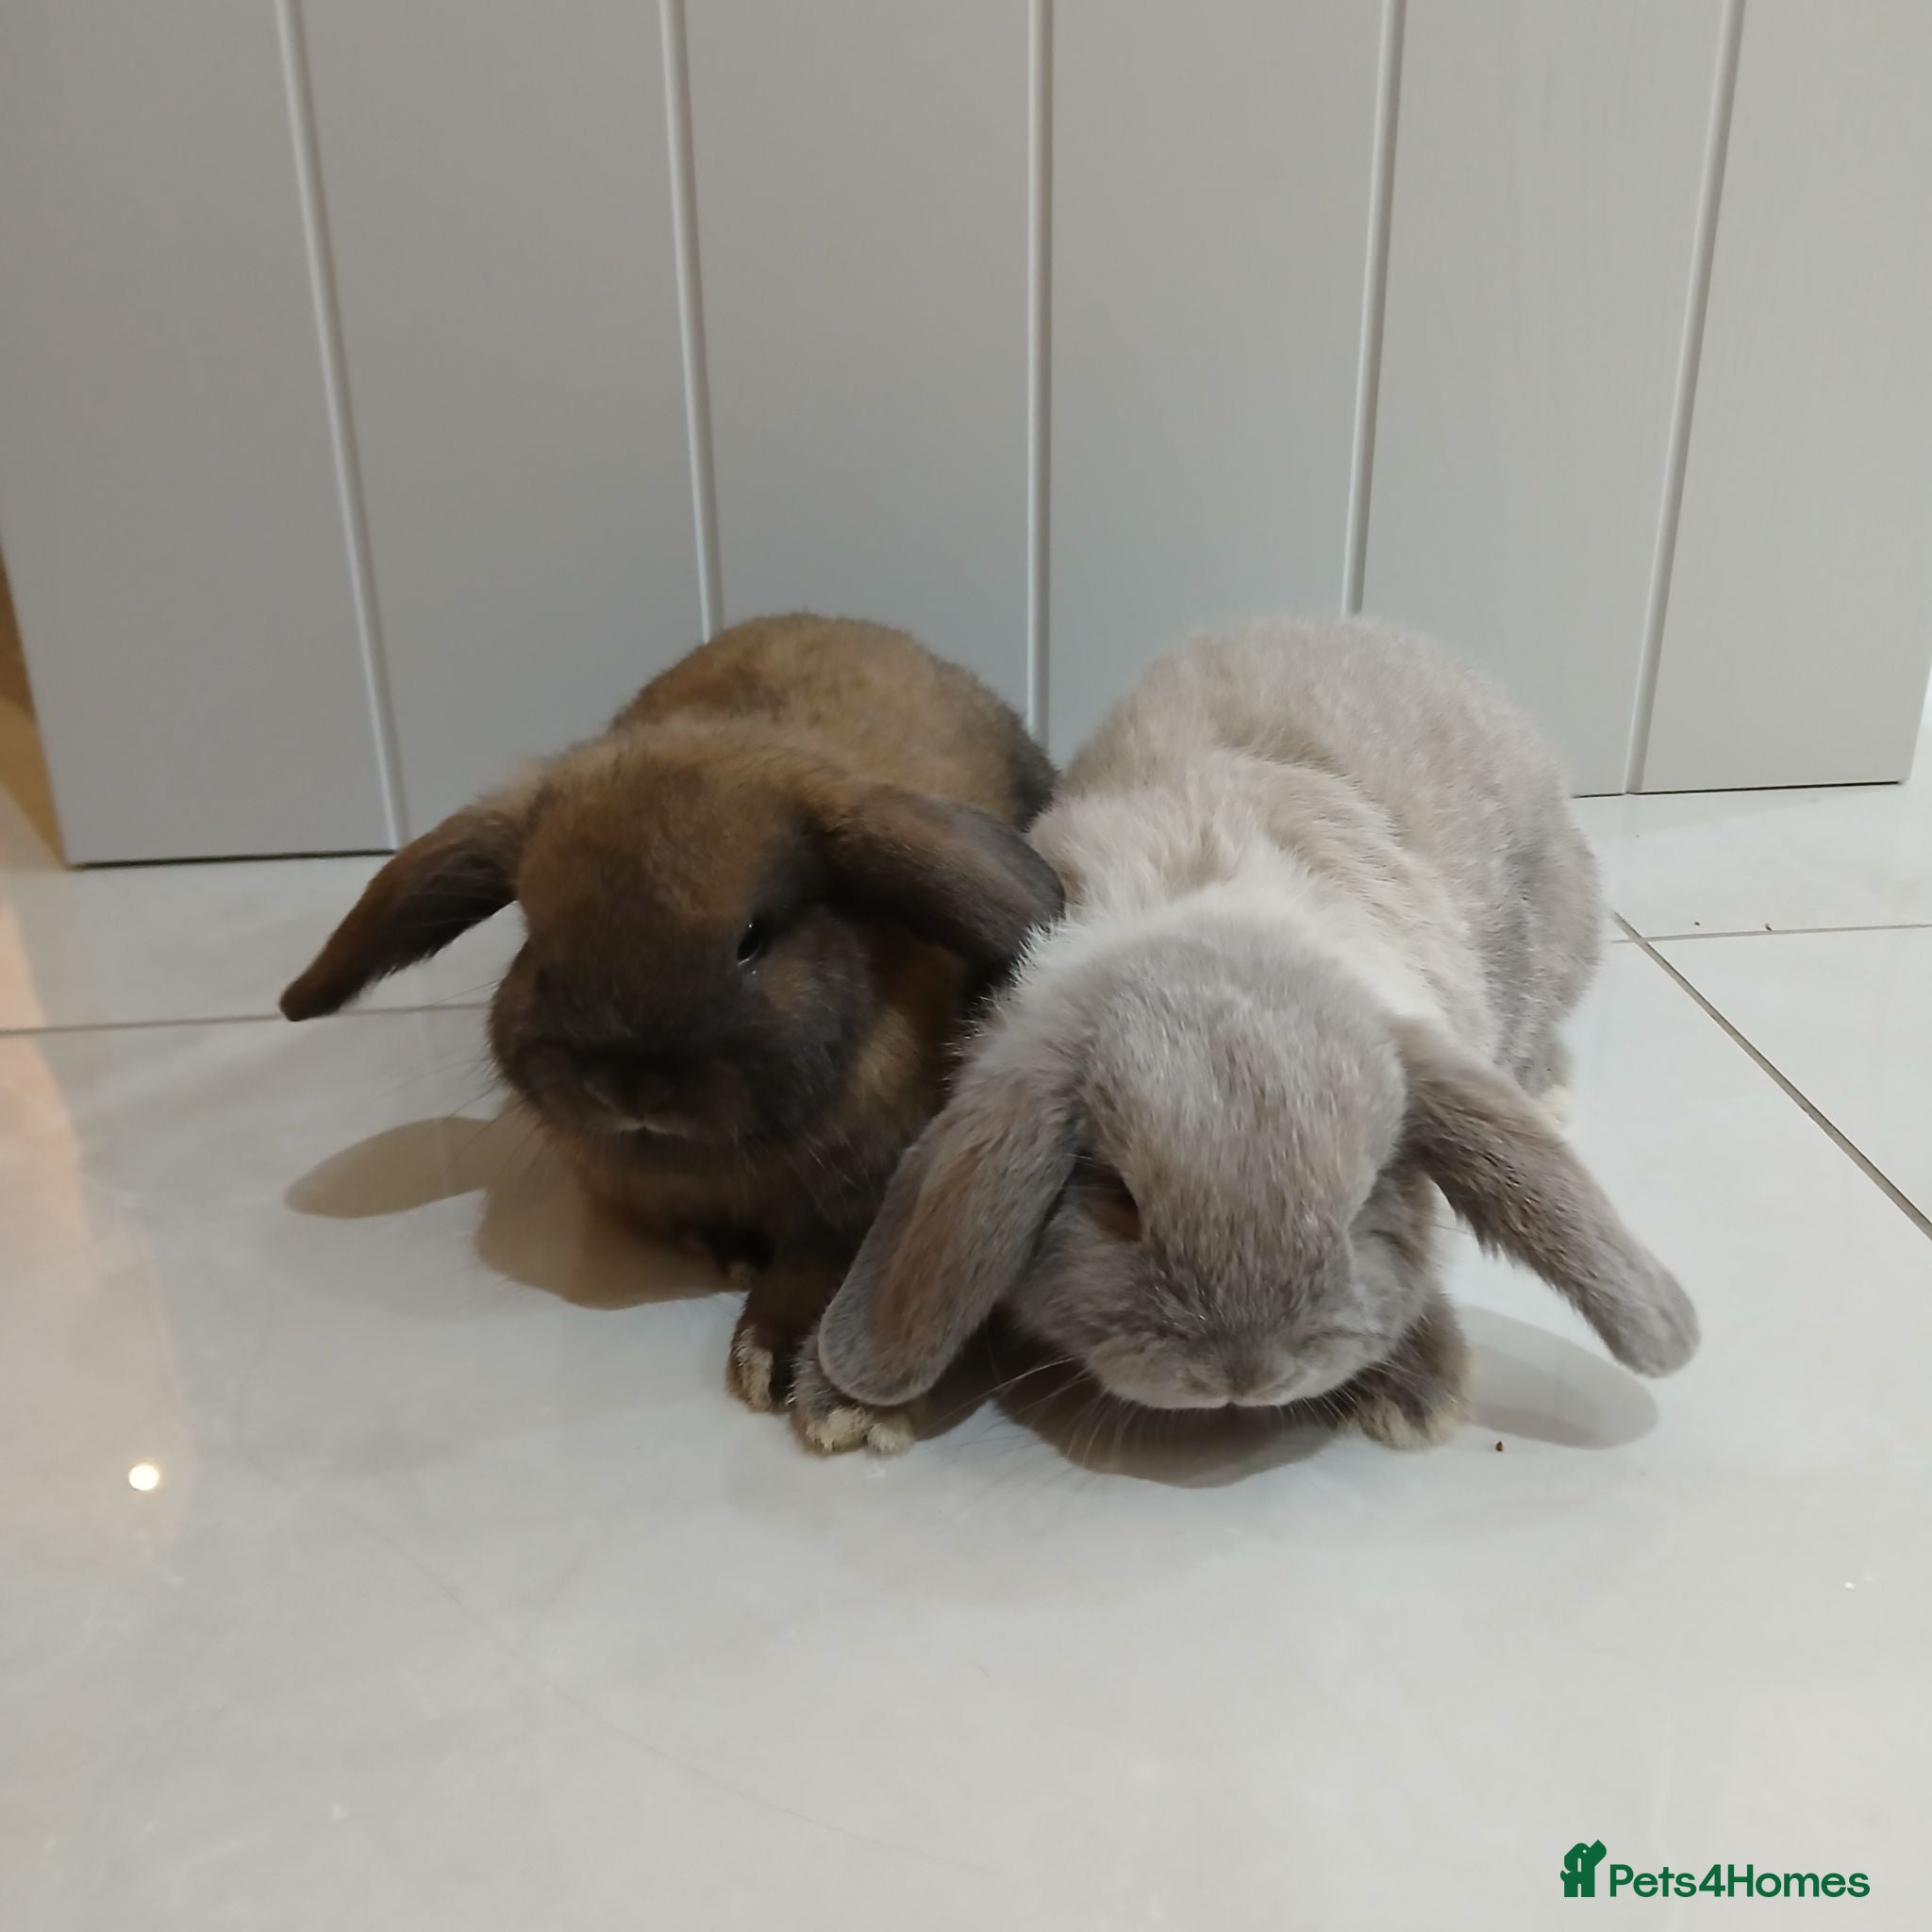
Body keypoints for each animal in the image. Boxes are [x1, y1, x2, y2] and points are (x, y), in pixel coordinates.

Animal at [281, 613, 1062, 1450]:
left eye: (753, 938)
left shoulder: (866, 1192)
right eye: (537, 942)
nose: (628, 1087)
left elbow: (819, 1262)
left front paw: (787, 1368)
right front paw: (732, 1261)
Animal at [801, 616, 1698, 1452]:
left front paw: (1417, 1392)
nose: (1243, 1376)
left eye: (1365, 1200)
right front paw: (845, 1402)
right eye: (1116, 1197)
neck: (1217, 925)